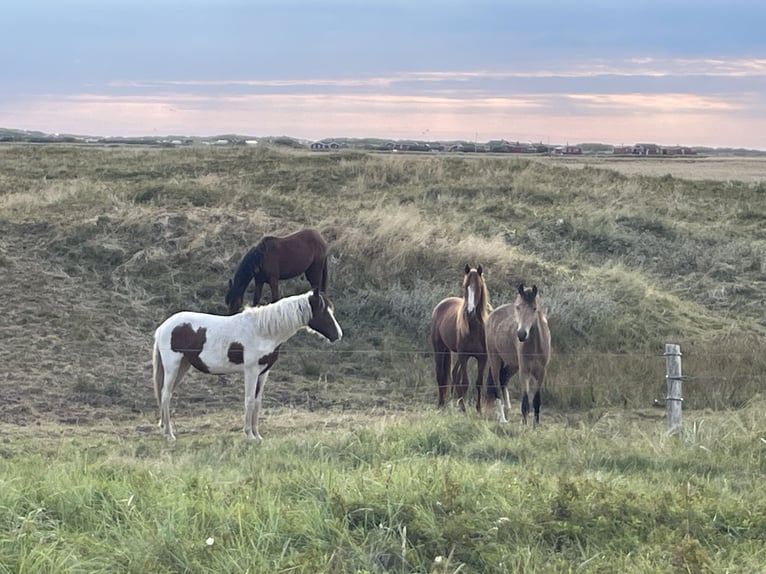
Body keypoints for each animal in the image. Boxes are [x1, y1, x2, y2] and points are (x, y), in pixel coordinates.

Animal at [153, 288, 342, 441]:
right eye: (323, 312)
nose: (338, 335)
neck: (262, 332)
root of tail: (163, 327)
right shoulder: (251, 371)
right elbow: (249, 400)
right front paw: (249, 435)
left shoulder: (263, 373)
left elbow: (257, 403)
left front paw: (257, 435)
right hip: (173, 367)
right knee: (166, 395)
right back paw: (169, 435)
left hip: (182, 366)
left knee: (165, 395)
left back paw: (164, 430)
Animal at [429, 264, 491, 412]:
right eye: (465, 286)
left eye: (478, 287)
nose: (469, 312)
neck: (474, 329)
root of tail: (440, 305)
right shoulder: (464, 356)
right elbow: (465, 383)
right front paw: (463, 408)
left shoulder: (482, 358)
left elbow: (478, 383)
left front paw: (478, 409)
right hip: (439, 349)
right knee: (440, 375)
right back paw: (441, 404)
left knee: (453, 374)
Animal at [485, 283, 551, 426]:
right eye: (518, 307)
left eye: (534, 308)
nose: (521, 334)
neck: (535, 346)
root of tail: (492, 314)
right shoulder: (524, 372)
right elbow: (525, 402)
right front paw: (524, 425)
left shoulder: (541, 373)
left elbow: (536, 401)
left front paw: (535, 425)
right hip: (494, 359)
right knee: (496, 384)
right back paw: (502, 418)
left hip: (512, 365)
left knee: (503, 378)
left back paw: (506, 410)